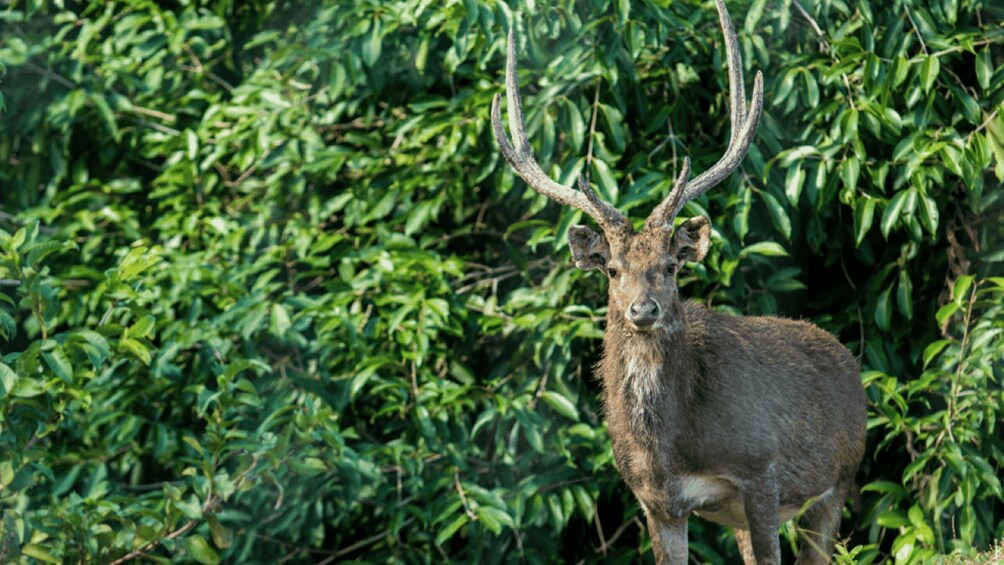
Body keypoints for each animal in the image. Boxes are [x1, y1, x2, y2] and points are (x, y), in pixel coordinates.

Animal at [489, 1, 867, 565]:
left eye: (670, 266)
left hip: (839, 480)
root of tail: (850, 362)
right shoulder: (655, 499)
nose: (643, 310)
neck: (670, 447)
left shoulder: (761, 471)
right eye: (612, 269)